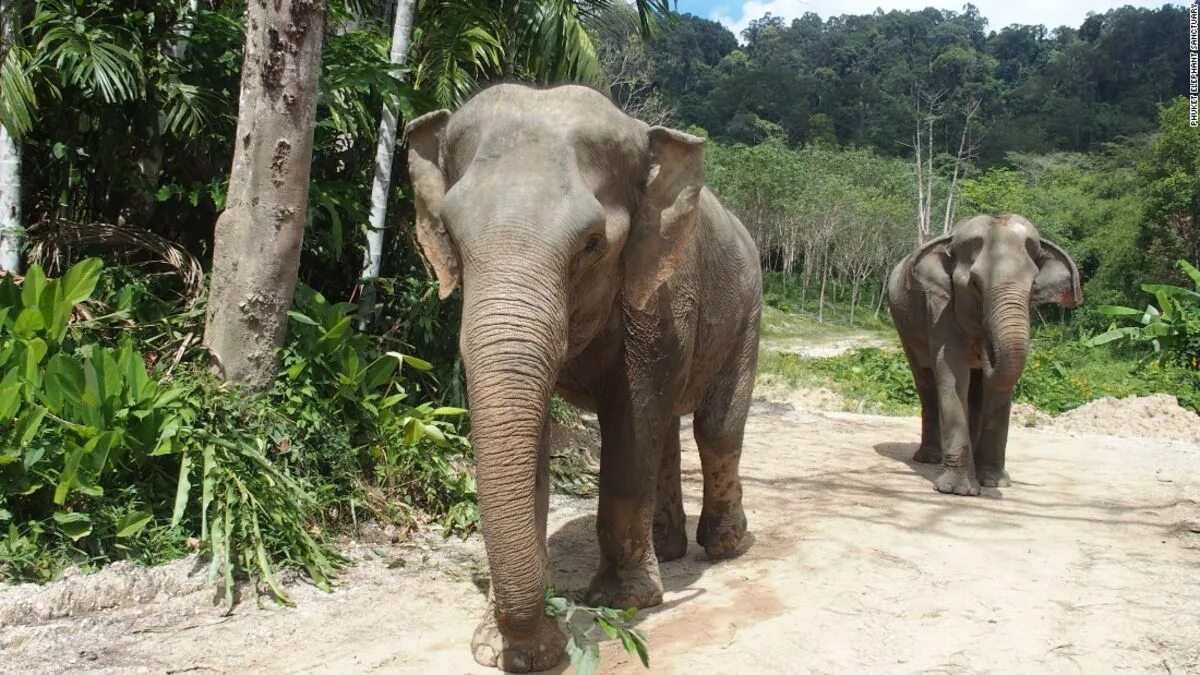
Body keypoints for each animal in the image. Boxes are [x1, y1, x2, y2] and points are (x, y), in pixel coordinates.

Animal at [403, 84, 758, 667]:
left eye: (592, 244)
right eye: (449, 235)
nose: (551, 637)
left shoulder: (658, 294)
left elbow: (632, 421)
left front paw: (624, 602)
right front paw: (509, 651)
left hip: (748, 312)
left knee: (716, 427)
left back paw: (725, 546)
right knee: (668, 432)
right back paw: (668, 550)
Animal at [888, 213, 1084, 494]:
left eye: (1033, 285)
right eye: (975, 284)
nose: (986, 348)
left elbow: (996, 387)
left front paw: (994, 482)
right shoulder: (939, 305)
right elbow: (952, 371)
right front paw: (958, 490)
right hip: (905, 328)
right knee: (925, 380)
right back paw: (929, 458)